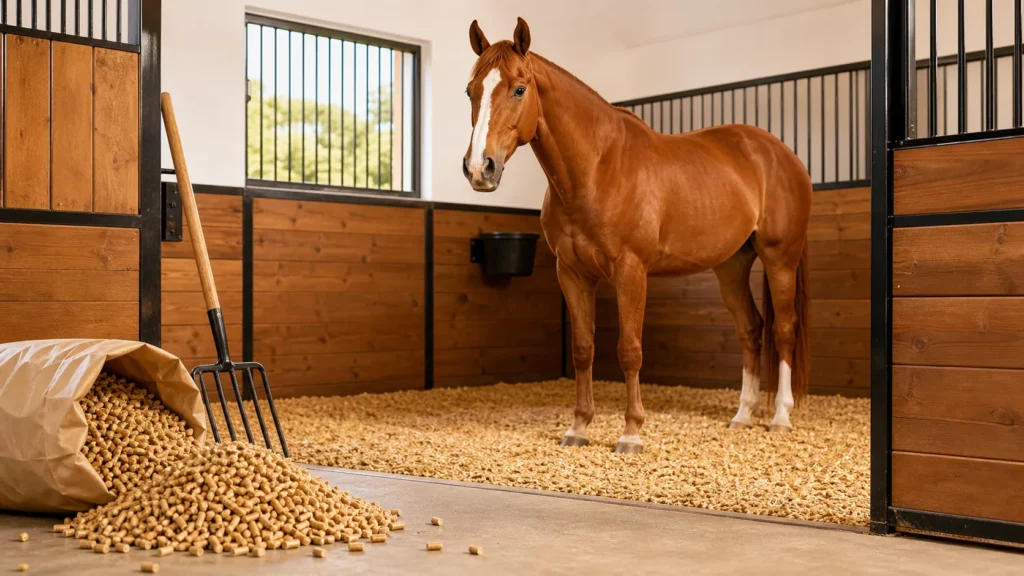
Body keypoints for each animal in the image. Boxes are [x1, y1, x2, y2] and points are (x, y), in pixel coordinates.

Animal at [461, 18, 812, 454]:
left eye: (519, 89)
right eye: (470, 90)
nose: (480, 168)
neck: (596, 169)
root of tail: (783, 155)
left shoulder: (631, 271)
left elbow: (629, 350)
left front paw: (631, 433)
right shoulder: (572, 274)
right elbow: (583, 349)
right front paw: (579, 428)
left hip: (780, 259)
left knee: (784, 329)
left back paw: (780, 417)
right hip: (731, 266)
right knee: (751, 328)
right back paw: (743, 415)